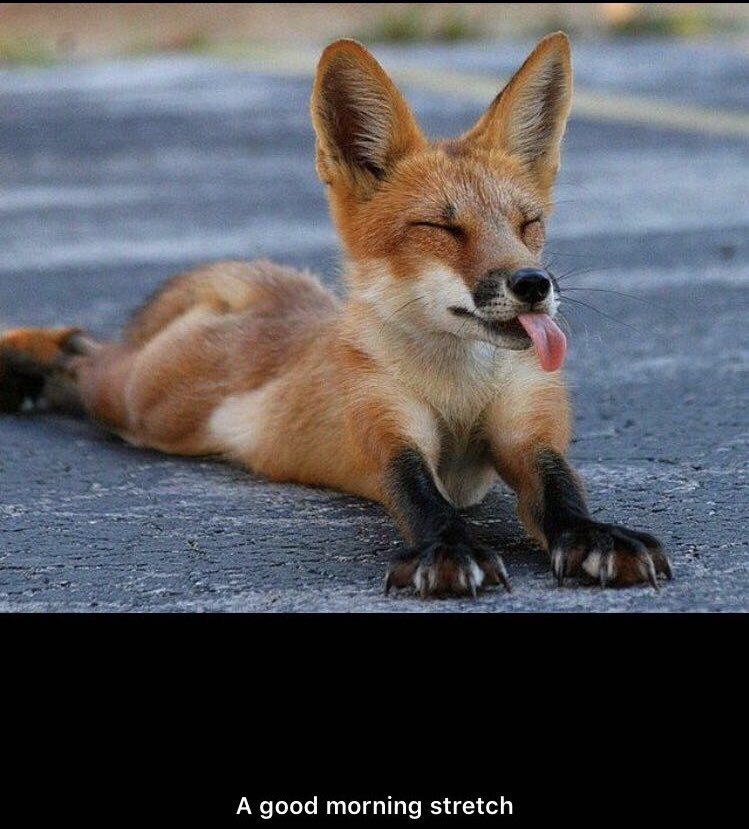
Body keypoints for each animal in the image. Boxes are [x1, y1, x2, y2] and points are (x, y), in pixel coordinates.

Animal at [0, 33, 672, 598]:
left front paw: (595, 536)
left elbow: (561, 490)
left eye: (527, 224)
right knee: (83, 352)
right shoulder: (385, 426)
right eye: (441, 228)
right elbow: (418, 492)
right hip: (144, 407)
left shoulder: (526, 428)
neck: (457, 389)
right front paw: (447, 548)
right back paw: (25, 365)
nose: (534, 284)